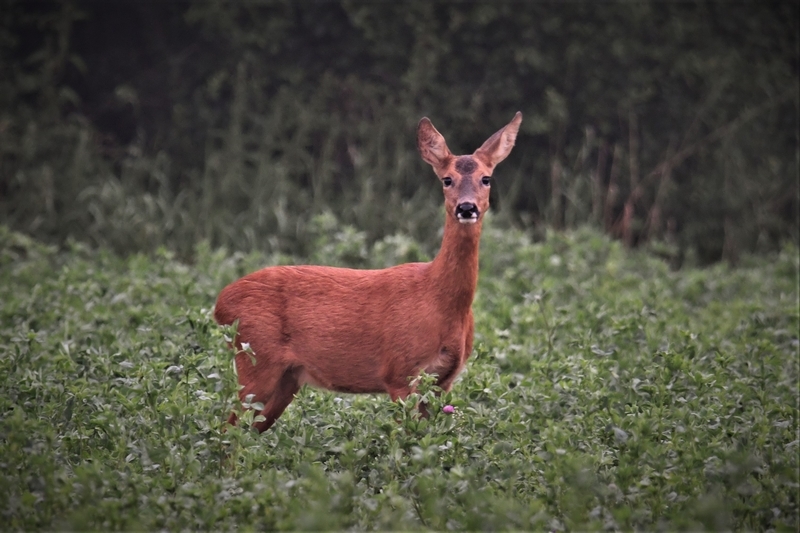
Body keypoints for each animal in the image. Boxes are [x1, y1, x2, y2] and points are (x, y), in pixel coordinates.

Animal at [216, 112, 520, 432]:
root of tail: (220, 304)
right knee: (229, 428)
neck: (439, 300)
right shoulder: (398, 372)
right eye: (447, 179)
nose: (466, 208)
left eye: (486, 178)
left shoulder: (443, 380)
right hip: (255, 357)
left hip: (287, 377)